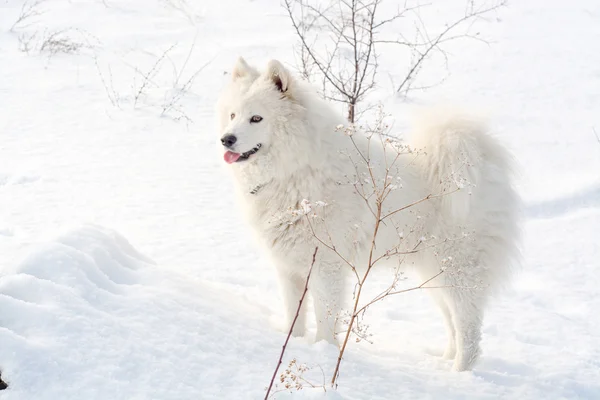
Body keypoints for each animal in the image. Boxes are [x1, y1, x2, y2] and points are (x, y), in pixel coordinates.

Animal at [217, 57, 520, 372]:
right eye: (232, 115)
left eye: (256, 118)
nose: (226, 139)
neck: (295, 170)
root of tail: (483, 165)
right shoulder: (289, 267)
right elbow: (294, 317)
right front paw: (293, 343)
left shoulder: (326, 267)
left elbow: (325, 317)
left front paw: (323, 351)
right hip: (434, 276)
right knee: (452, 325)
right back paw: (442, 360)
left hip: (458, 272)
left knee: (469, 330)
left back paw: (459, 373)